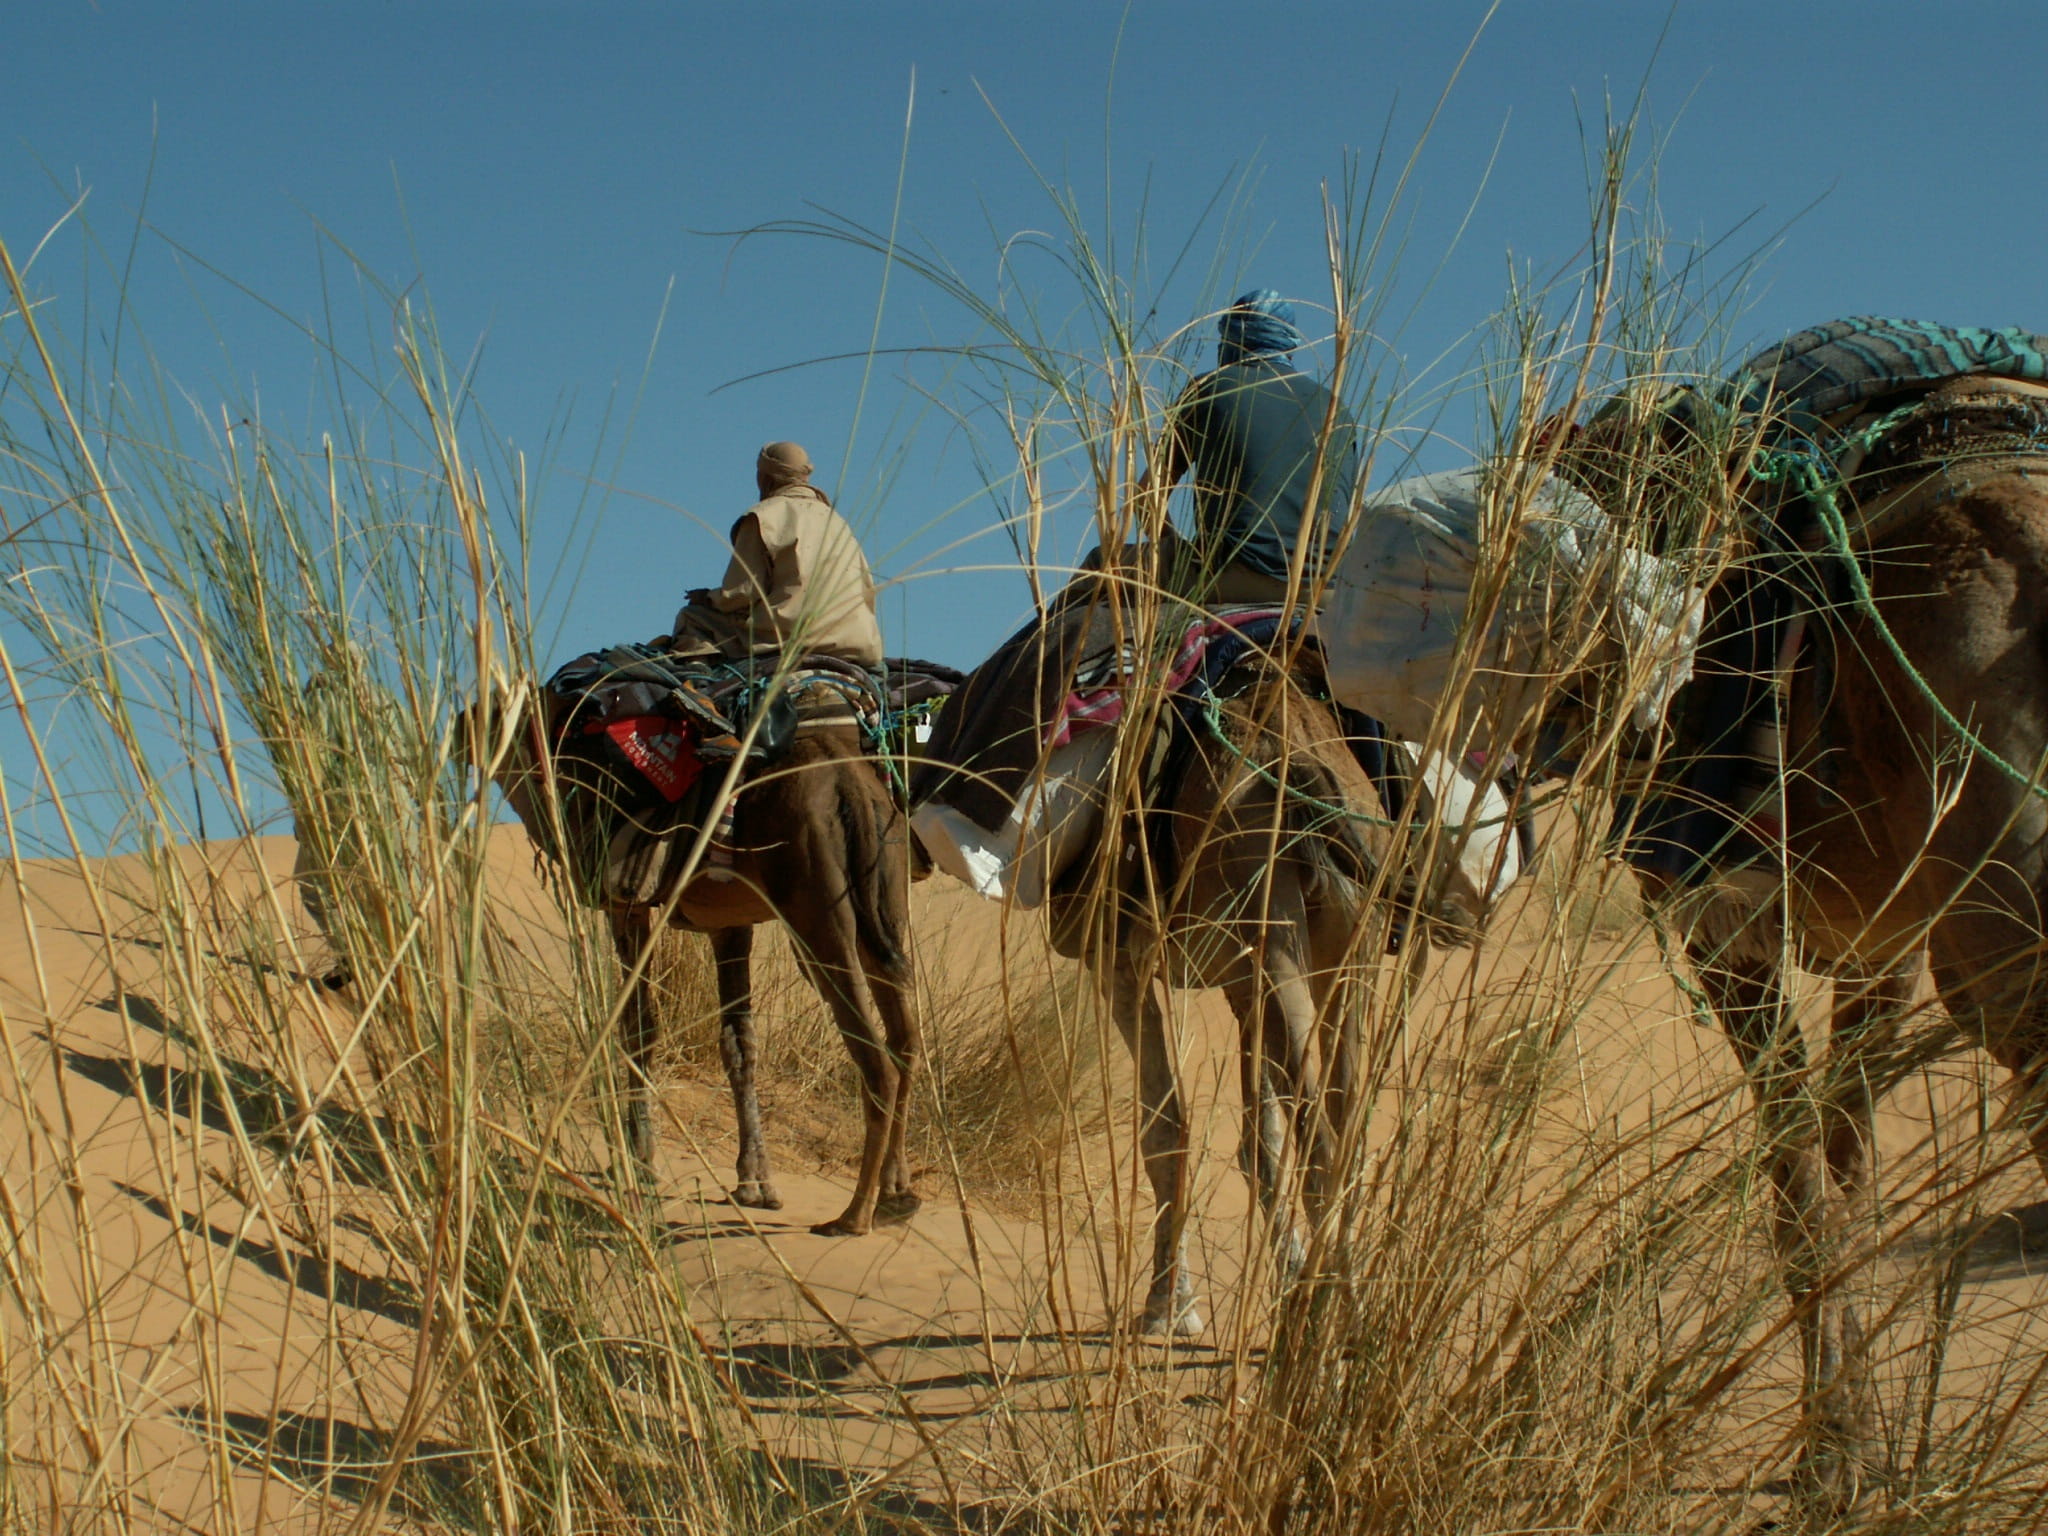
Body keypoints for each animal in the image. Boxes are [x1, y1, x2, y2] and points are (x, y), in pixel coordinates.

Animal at [483, 690, 921, 1237]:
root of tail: (848, 785)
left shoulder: (625, 904)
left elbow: (639, 1027)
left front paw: (639, 1163)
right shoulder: (728, 924)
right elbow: (739, 1044)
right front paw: (755, 1183)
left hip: (816, 906)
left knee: (876, 1059)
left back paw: (854, 1215)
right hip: (884, 888)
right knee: (906, 1040)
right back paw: (897, 1194)